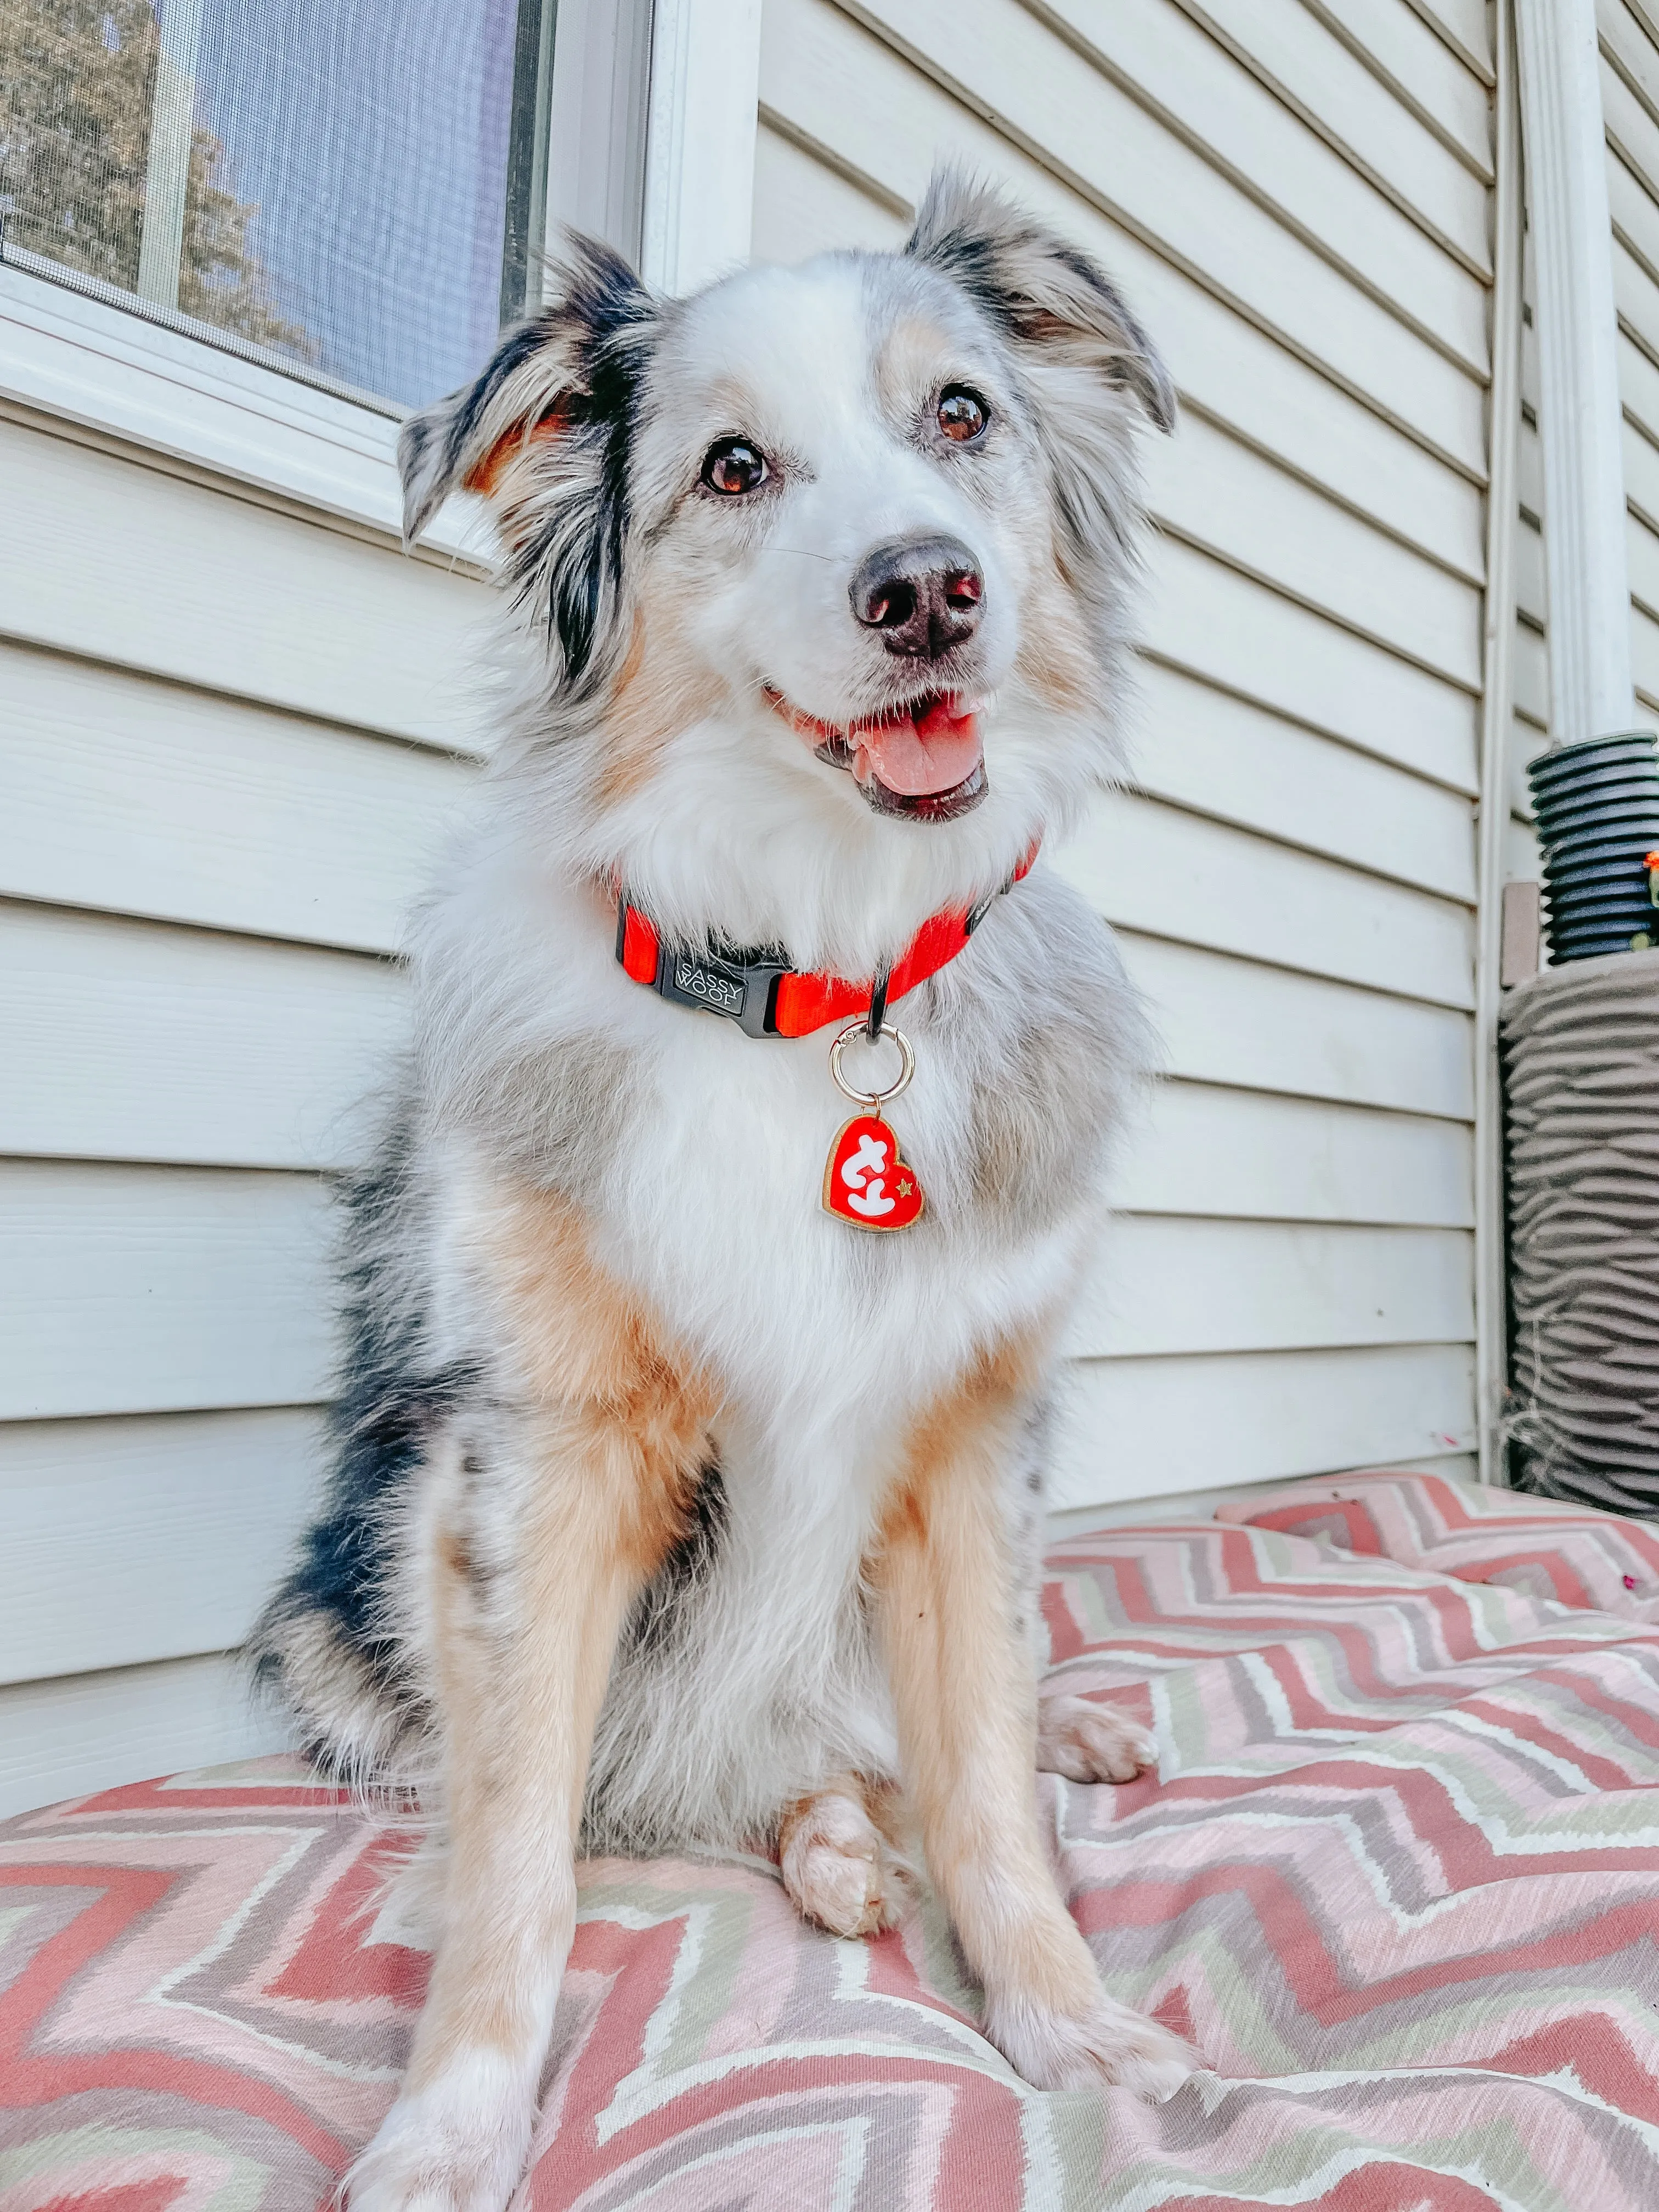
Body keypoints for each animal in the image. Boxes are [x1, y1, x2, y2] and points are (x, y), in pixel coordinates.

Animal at [253, 163, 1194, 2203]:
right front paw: (455, 2118)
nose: (928, 590)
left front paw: (1067, 2023)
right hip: (335, 1610)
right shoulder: (539, 1458)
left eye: (960, 416)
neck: (812, 983)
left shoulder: (968, 1446)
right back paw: (828, 1848)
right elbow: (518, 1851)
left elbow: (983, 1781)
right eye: (736, 467)